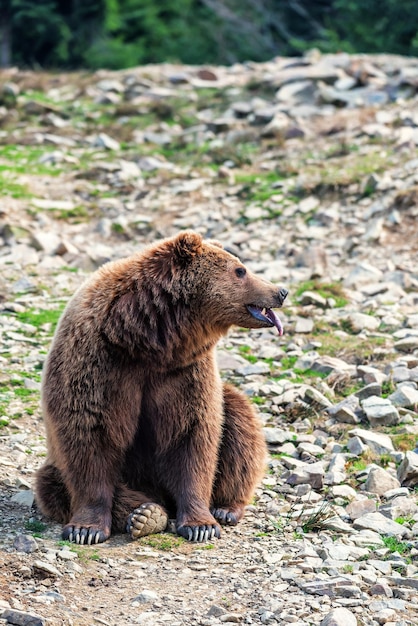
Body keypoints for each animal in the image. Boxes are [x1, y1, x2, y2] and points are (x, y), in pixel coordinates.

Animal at [35, 229, 288, 540]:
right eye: (240, 270)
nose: (281, 291)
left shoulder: (184, 372)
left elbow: (192, 436)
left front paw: (201, 525)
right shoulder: (96, 361)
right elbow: (89, 434)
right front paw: (86, 529)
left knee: (239, 421)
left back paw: (225, 508)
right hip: (57, 470)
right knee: (53, 486)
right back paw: (145, 513)